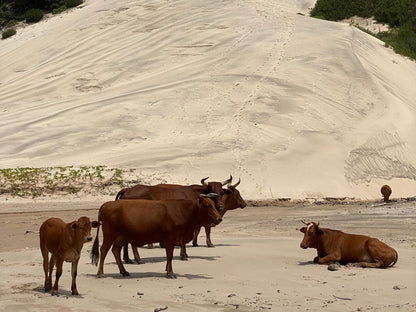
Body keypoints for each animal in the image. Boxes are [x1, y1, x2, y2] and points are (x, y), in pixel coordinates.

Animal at [90, 195, 221, 278]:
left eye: (214, 204)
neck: (183, 211)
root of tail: (107, 204)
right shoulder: (170, 239)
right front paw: (170, 273)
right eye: (207, 205)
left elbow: (169, 257)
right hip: (110, 235)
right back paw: (100, 273)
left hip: (121, 237)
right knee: (104, 250)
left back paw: (124, 271)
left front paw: (167, 270)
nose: (219, 218)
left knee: (115, 250)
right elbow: (169, 256)